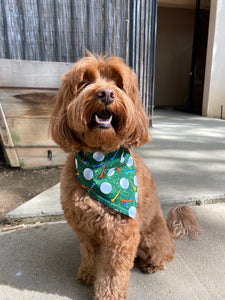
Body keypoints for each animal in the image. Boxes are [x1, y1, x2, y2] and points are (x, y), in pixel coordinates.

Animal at [49, 53, 200, 300]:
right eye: (85, 82)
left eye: (119, 83)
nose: (106, 93)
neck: (100, 159)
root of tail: (169, 234)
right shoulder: (85, 230)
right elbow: (89, 255)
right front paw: (88, 274)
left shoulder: (121, 235)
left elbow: (112, 273)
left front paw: (108, 295)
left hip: (150, 239)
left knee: (165, 256)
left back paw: (150, 265)